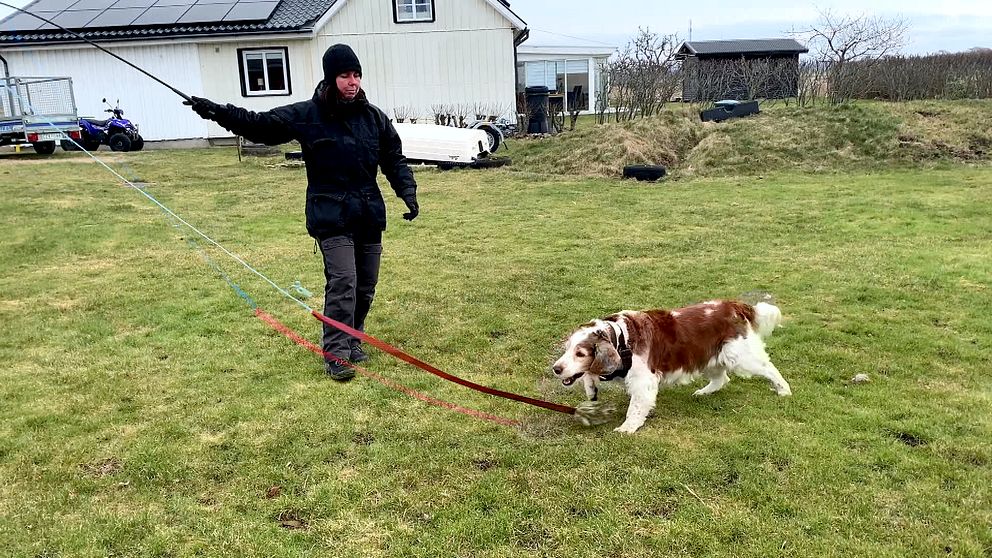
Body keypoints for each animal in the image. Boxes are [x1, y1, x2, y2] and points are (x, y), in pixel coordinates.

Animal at [552, 300, 792, 436]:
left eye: (580, 353)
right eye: (567, 349)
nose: (556, 368)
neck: (621, 338)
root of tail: (734, 305)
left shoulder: (644, 381)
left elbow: (635, 408)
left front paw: (627, 428)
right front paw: (590, 389)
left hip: (739, 355)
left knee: (769, 368)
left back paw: (784, 390)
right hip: (706, 356)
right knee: (722, 379)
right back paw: (703, 392)